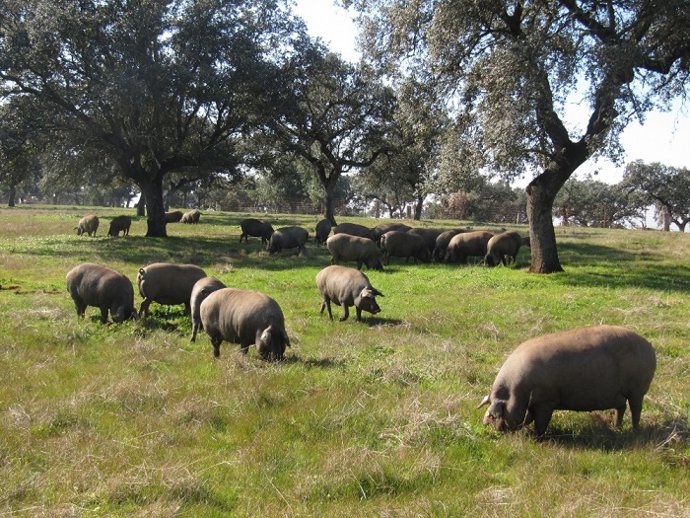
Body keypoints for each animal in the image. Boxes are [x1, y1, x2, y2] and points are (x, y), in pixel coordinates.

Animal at [478, 325, 656, 436]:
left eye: (495, 414)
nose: (485, 423)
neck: (517, 392)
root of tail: (649, 346)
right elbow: (530, 417)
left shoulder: (546, 401)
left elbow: (541, 422)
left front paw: (536, 437)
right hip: (620, 394)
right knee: (621, 407)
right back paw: (616, 428)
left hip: (637, 390)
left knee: (635, 410)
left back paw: (634, 431)